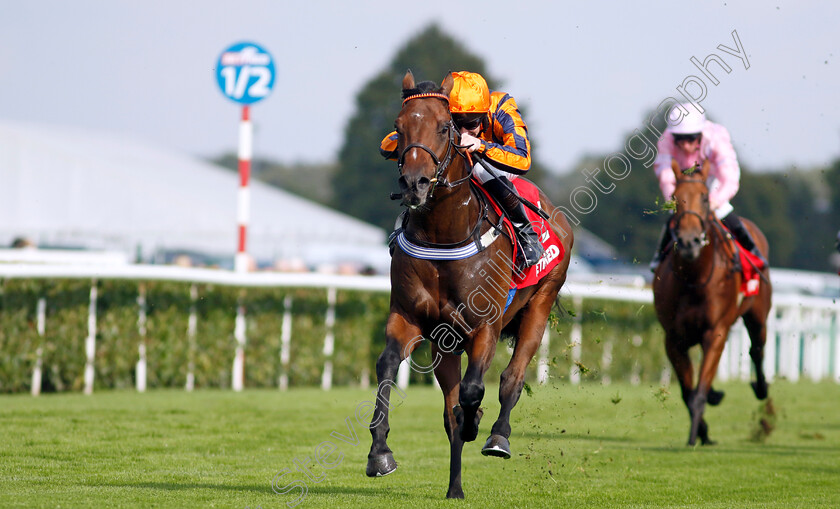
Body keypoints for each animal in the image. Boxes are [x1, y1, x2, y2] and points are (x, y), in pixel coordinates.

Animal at [364, 70, 576, 496]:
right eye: (398, 126)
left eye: (445, 127)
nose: (415, 184)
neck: (443, 236)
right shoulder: (413, 320)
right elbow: (388, 366)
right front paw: (380, 453)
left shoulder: (485, 326)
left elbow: (474, 390)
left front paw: (478, 421)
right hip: (446, 344)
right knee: (450, 413)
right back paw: (455, 488)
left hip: (541, 301)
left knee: (512, 378)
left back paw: (497, 436)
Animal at [652, 160, 772, 444]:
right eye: (675, 198)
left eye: (705, 198)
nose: (689, 242)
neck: (694, 280)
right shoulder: (673, 339)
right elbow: (688, 392)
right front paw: (703, 433)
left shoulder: (715, 332)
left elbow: (698, 392)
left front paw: (695, 437)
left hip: (758, 314)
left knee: (757, 349)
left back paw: (761, 388)